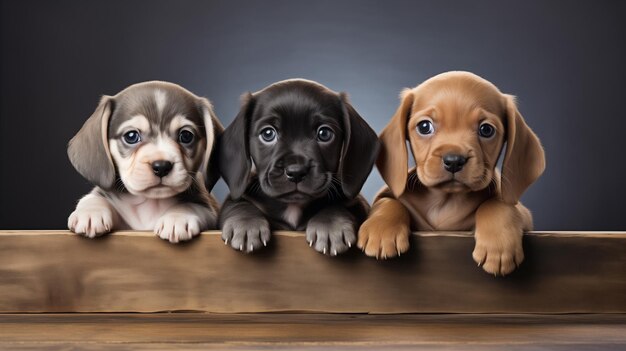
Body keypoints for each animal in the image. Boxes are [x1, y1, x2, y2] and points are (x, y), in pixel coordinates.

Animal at [66, 81, 221, 243]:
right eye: (131, 136)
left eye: (186, 136)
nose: (161, 167)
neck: (149, 202)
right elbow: (95, 197)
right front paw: (90, 212)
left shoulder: (208, 209)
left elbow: (191, 205)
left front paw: (177, 217)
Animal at [217, 79, 378, 256]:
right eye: (268, 134)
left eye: (324, 133)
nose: (296, 172)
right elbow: (238, 204)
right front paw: (246, 223)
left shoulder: (358, 204)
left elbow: (340, 207)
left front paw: (331, 224)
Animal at [358, 70, 544, 276]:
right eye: (424, 127)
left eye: (486, 130)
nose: (454, 160)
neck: (445, 202)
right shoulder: (389, 196)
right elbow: (389, 202)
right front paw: (381, 229)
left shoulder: (525, 216)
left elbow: (498, 204)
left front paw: (498, 244)